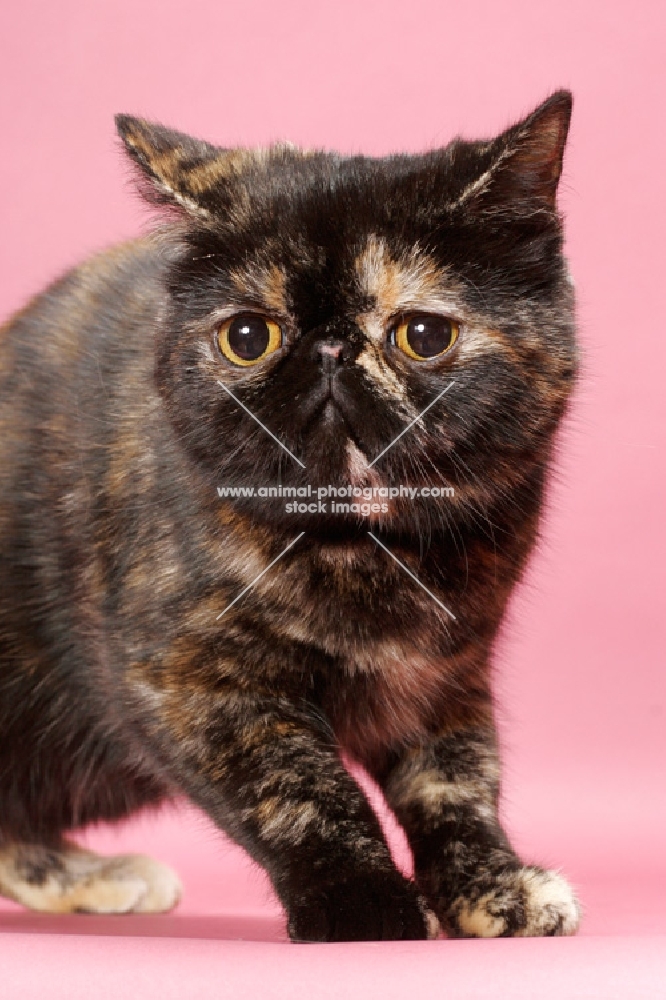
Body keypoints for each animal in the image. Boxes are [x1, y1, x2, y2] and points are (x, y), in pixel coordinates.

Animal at [0, 92, 580, 936]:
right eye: (248, 336)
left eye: (424, 334)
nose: (332, 350)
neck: (369, 553)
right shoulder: (194, 678)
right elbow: (301, 791)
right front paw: (366, 904)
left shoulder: (444, 674)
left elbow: (459, 782)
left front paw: (495, 886)